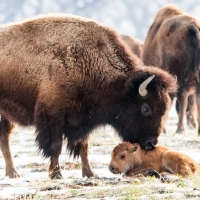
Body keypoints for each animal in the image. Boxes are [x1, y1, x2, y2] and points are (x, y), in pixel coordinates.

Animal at [0, 14, 176, 180]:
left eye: (164, 108)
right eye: (146, 108)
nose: (151, 143)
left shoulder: (82, 120)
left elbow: (83, 147)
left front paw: (90, 173)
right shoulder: (53, 117)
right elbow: (56, 147)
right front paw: (56, 174)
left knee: (4, 137)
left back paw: (12, 173)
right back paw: (13, 173)